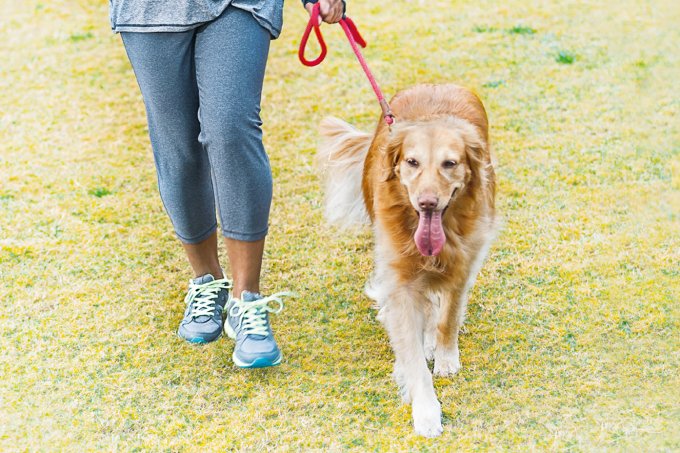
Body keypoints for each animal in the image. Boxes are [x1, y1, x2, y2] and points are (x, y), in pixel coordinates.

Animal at [316, 84, 496, 434]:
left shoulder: (464, 263)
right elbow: (412, 351)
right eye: (412, 162)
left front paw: (445, 356)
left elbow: (449, 316)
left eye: (450, 163)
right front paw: (426, 411)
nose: (427, 203)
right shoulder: (399, 280)